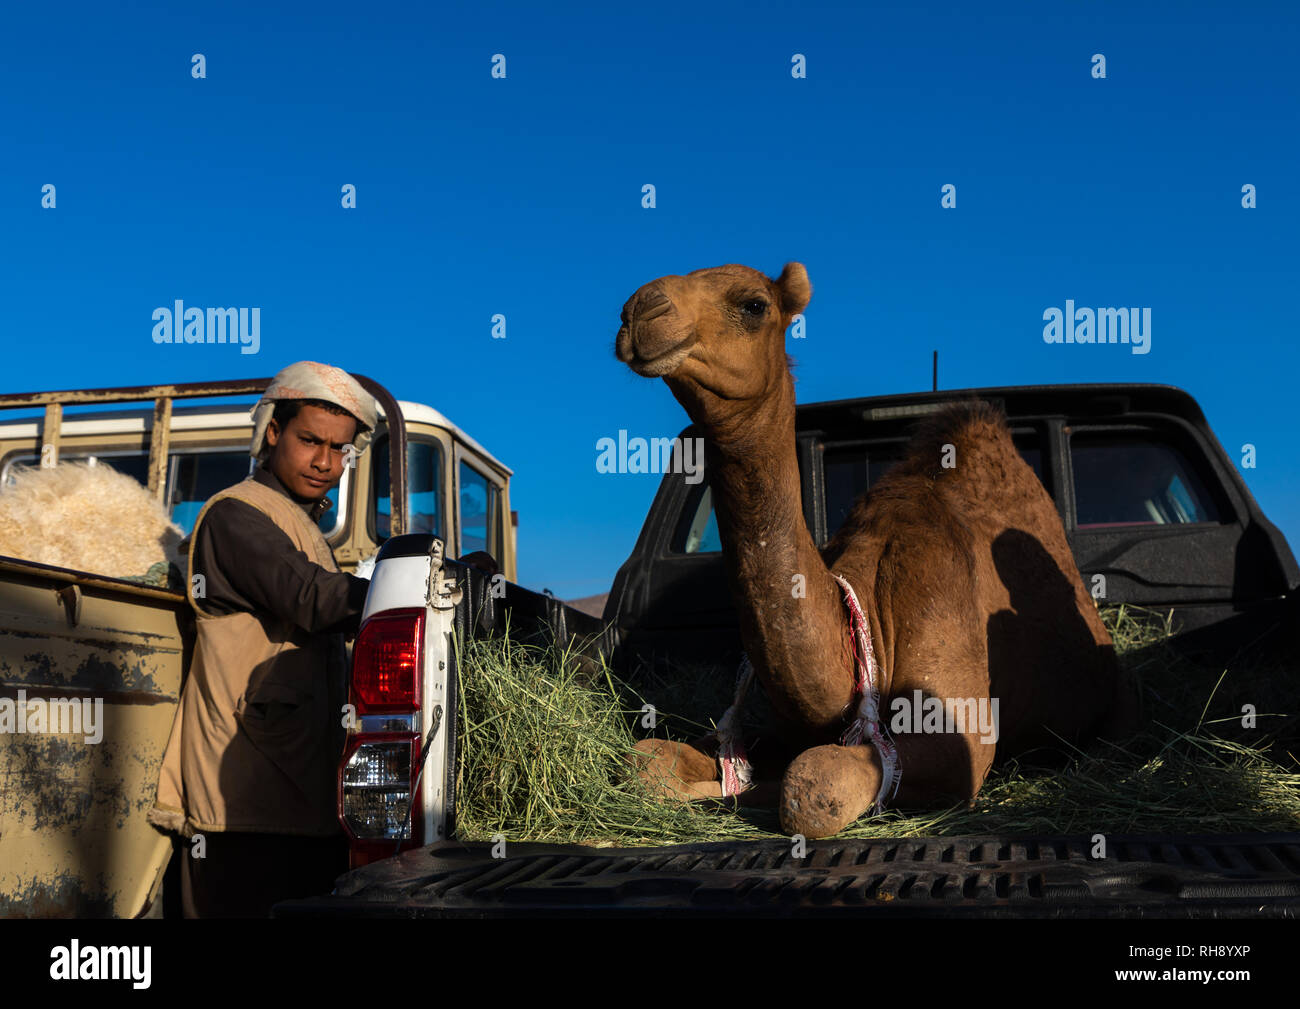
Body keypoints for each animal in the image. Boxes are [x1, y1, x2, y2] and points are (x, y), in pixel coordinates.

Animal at [616, 260, 1138, 837]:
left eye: (754, 304)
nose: (640, 310)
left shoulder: (959, 741)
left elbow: (808, 784)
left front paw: (730, 795)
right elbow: (649, 760)